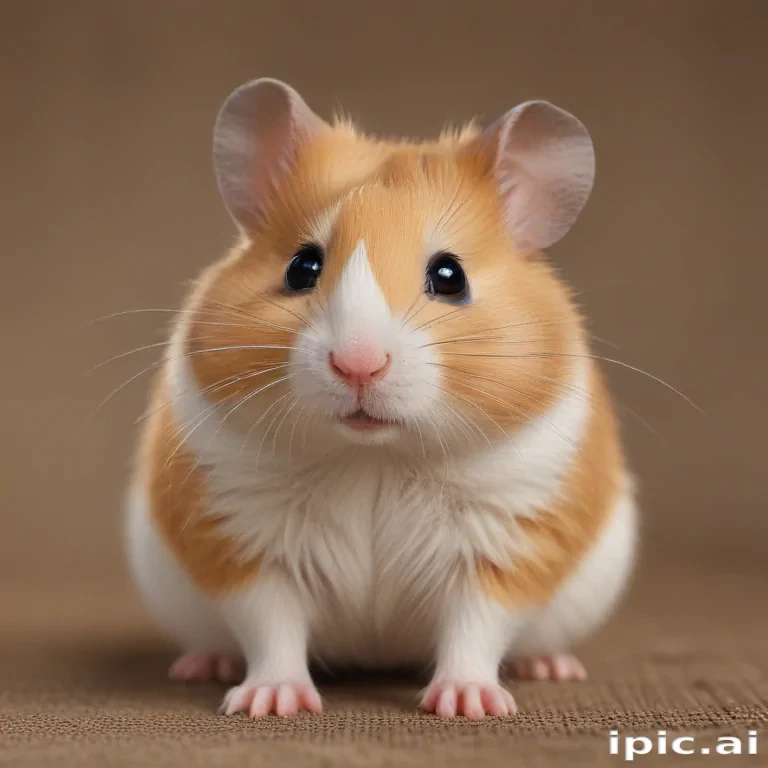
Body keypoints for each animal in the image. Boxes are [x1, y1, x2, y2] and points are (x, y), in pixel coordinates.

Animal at [125, 78, 636, 720]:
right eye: (302, 266)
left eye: (450, 277)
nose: (357, 364)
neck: (374, 457)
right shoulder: (243, 538)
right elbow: (272, 625)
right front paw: (271, 702)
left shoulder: (505, 541)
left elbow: (475, 625)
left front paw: (467, 704)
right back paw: (202, 665)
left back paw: (550, 666)